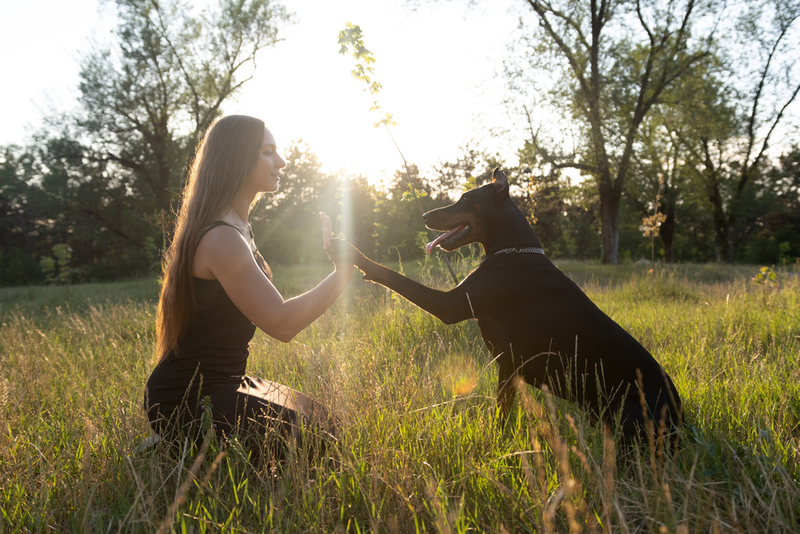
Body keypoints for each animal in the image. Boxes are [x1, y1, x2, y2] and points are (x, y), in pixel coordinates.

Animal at [332, 170, 680, 442]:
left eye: (464, 200)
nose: (425, 216)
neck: (515, 251)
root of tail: (681, 417)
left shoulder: (454, 307)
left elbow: (392, 276)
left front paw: (350, 252)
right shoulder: (509, 368)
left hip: (630, 415)